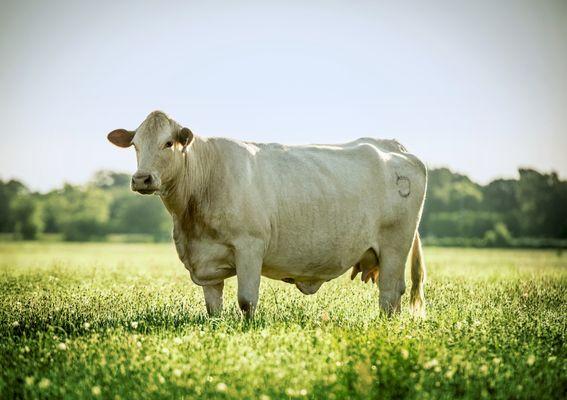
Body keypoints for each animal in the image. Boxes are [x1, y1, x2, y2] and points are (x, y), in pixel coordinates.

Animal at [106, 111, 428, 318]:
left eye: (168, 143)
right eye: (135, 145)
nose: (141, 179)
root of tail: (394, 146)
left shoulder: (250, 246)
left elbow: (247, 301)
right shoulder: (206, 262)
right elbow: (213, 308)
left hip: (395, 246)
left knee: (390, 293)